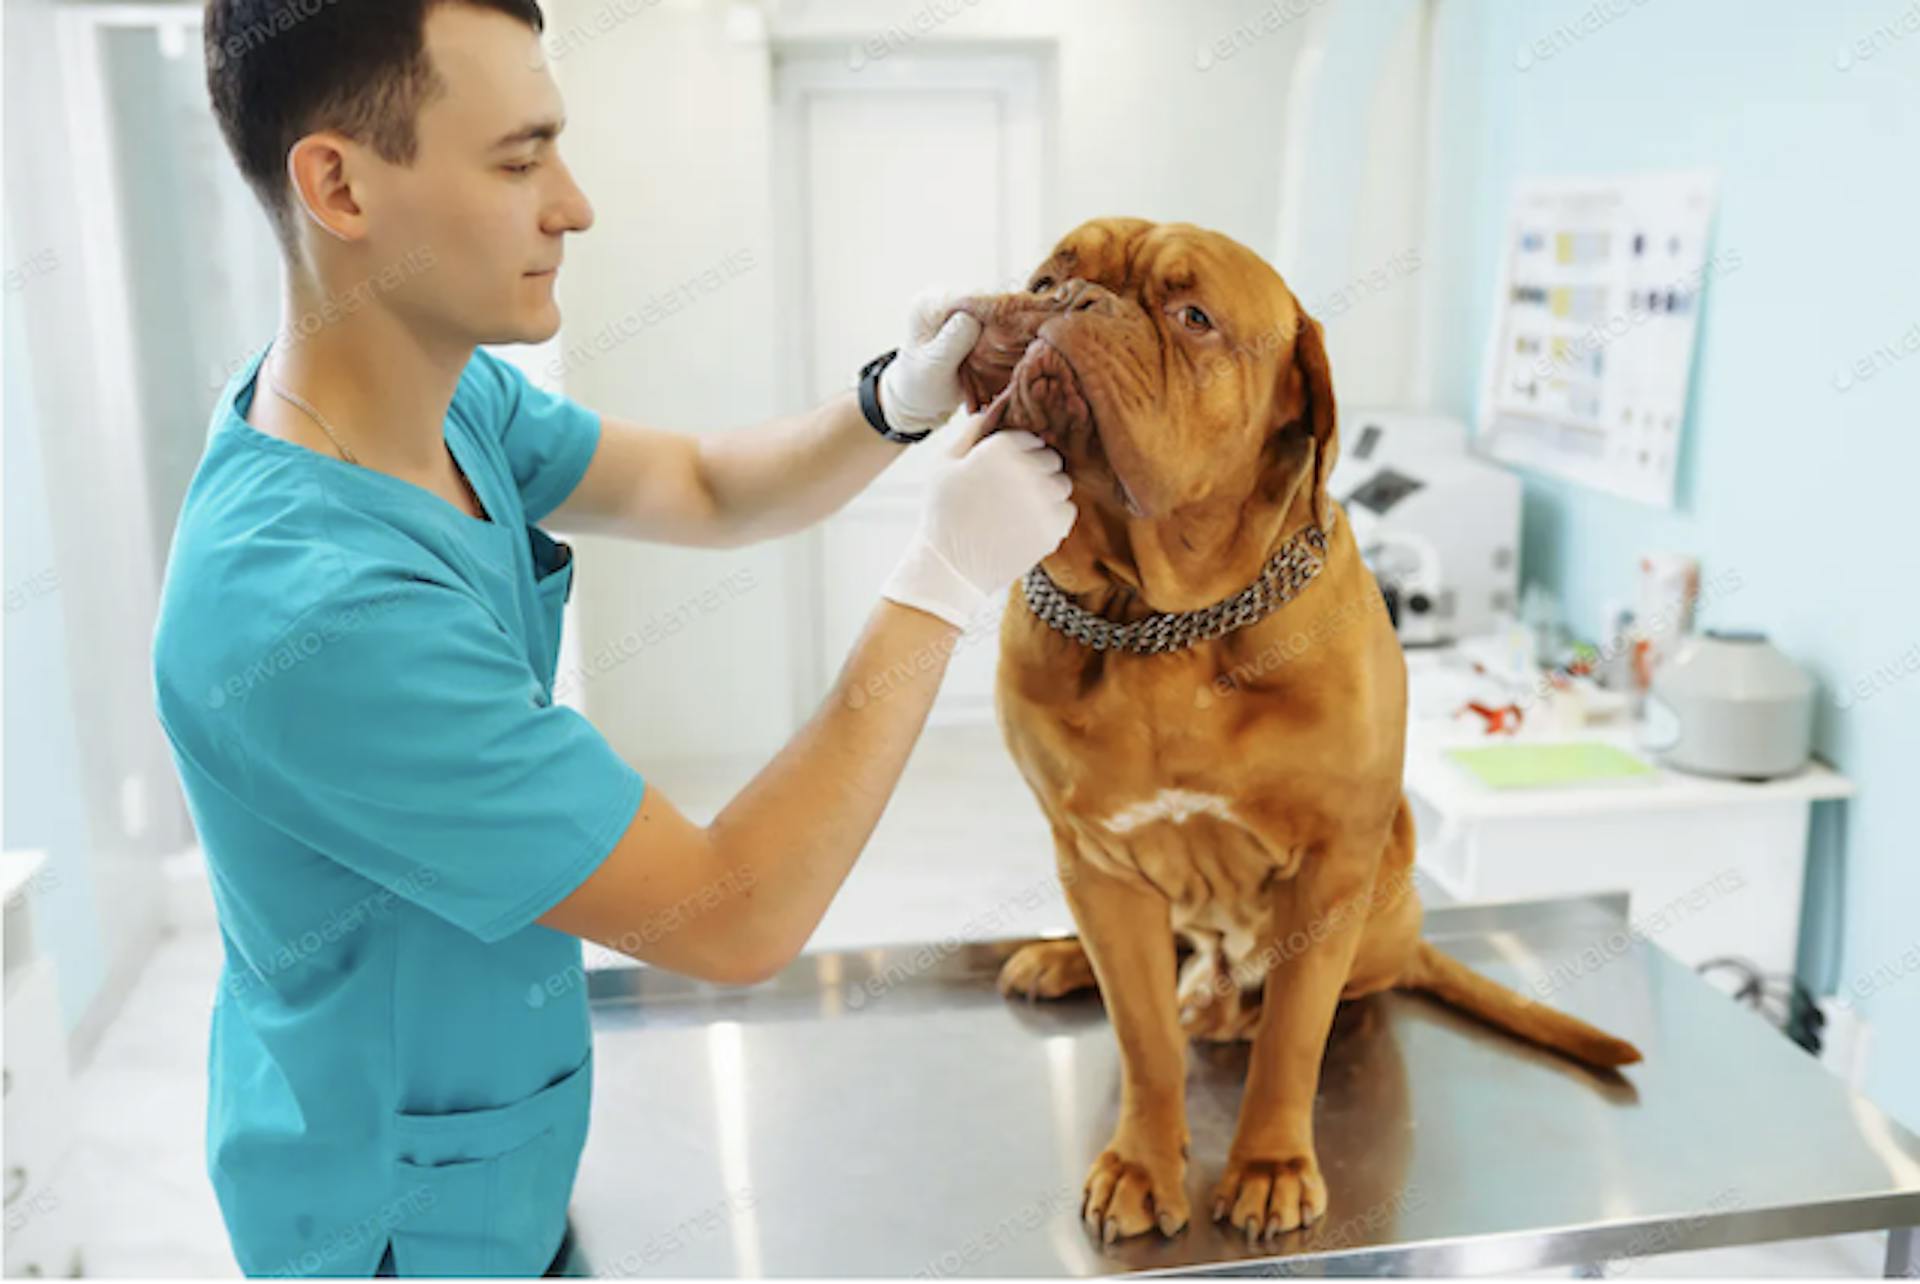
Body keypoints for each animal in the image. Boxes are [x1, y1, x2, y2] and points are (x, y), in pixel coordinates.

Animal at [952, 217, 1643, 1243]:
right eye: (1045, 280)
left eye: (1193, 317)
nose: (1071, 303)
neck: (1157, 618)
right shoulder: (1099, 864)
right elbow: (1145, 1038)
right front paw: (1142, 1163)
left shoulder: (1328, 868)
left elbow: (1292, 1039)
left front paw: (1271, 1166)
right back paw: (1066, 959)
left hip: (1379, 901)